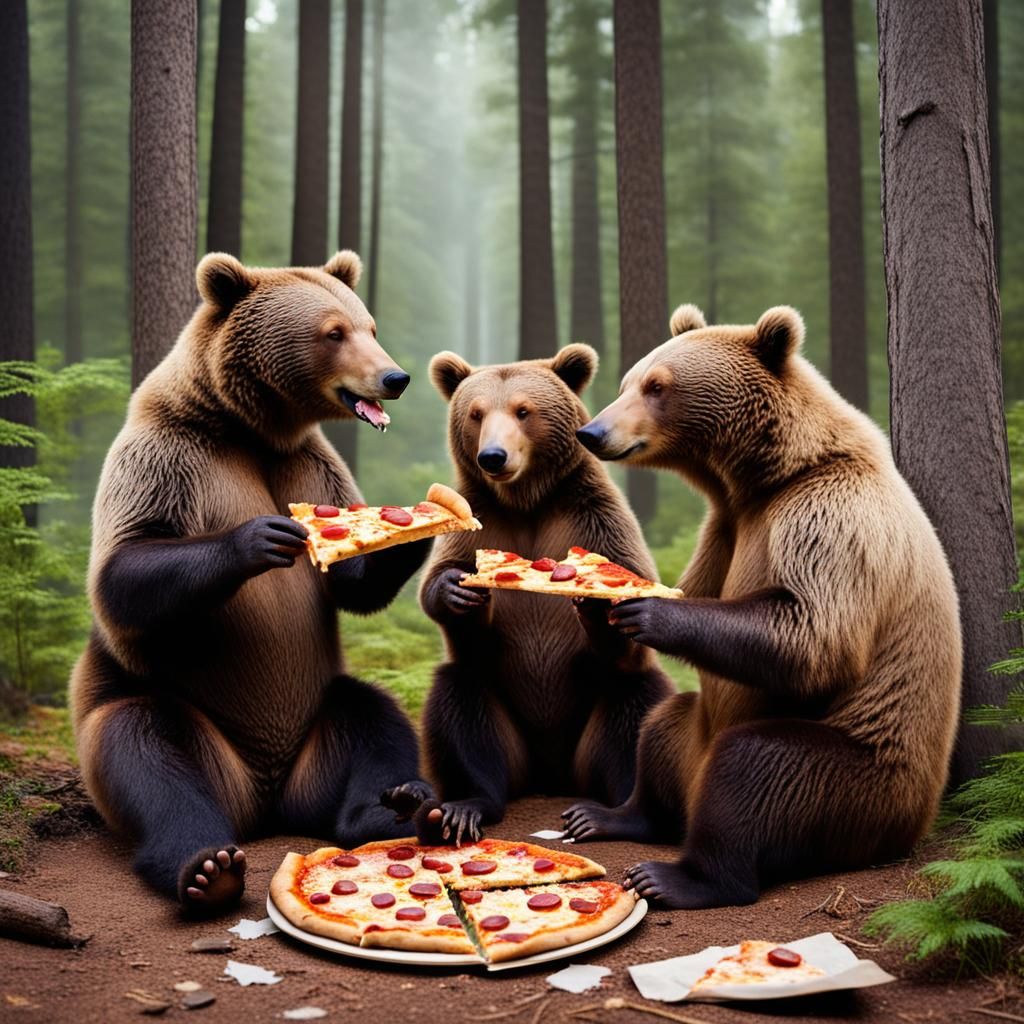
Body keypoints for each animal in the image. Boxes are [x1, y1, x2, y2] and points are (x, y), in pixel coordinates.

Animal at [70, 250, 435, 914]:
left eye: (368, 325)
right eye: (334, 332)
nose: (394, 377)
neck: (252, 427)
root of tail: (268, 801)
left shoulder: (309, 463)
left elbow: (352, 582)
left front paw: (413, 524)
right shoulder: (171, 459)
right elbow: (123, 571)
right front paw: (261, 537)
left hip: (318, 727)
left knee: (373, 717)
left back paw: (391, 809)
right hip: (185, 726)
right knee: (148, 753)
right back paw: (205, 866)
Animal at [387, 345, 674, 845]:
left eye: (524, 411)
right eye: (476, 413)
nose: (493, 456)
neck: (527, 501)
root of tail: (549, 775)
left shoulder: (593, 517)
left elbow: (628, 613)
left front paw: (597, 603)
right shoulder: (478, 518)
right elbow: (440, 583)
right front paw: (457, 590)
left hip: (590, 737)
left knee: (634, 702)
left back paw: (610, 814)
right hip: (507, 730)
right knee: (461, 702)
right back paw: (458, 807)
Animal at [562, 304, 962, 910]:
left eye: (657, 386)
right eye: (630, 380)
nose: (593, 432)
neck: (764, 479)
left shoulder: (827, 517)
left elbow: (807, 629)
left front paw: (648, 609)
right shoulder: (726, 528)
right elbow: (701, 587)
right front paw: (595, 600)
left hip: (862, 772)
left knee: (755, 770)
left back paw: (678, 875)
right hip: (693, 734)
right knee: (660, 729)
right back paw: (610, 816)